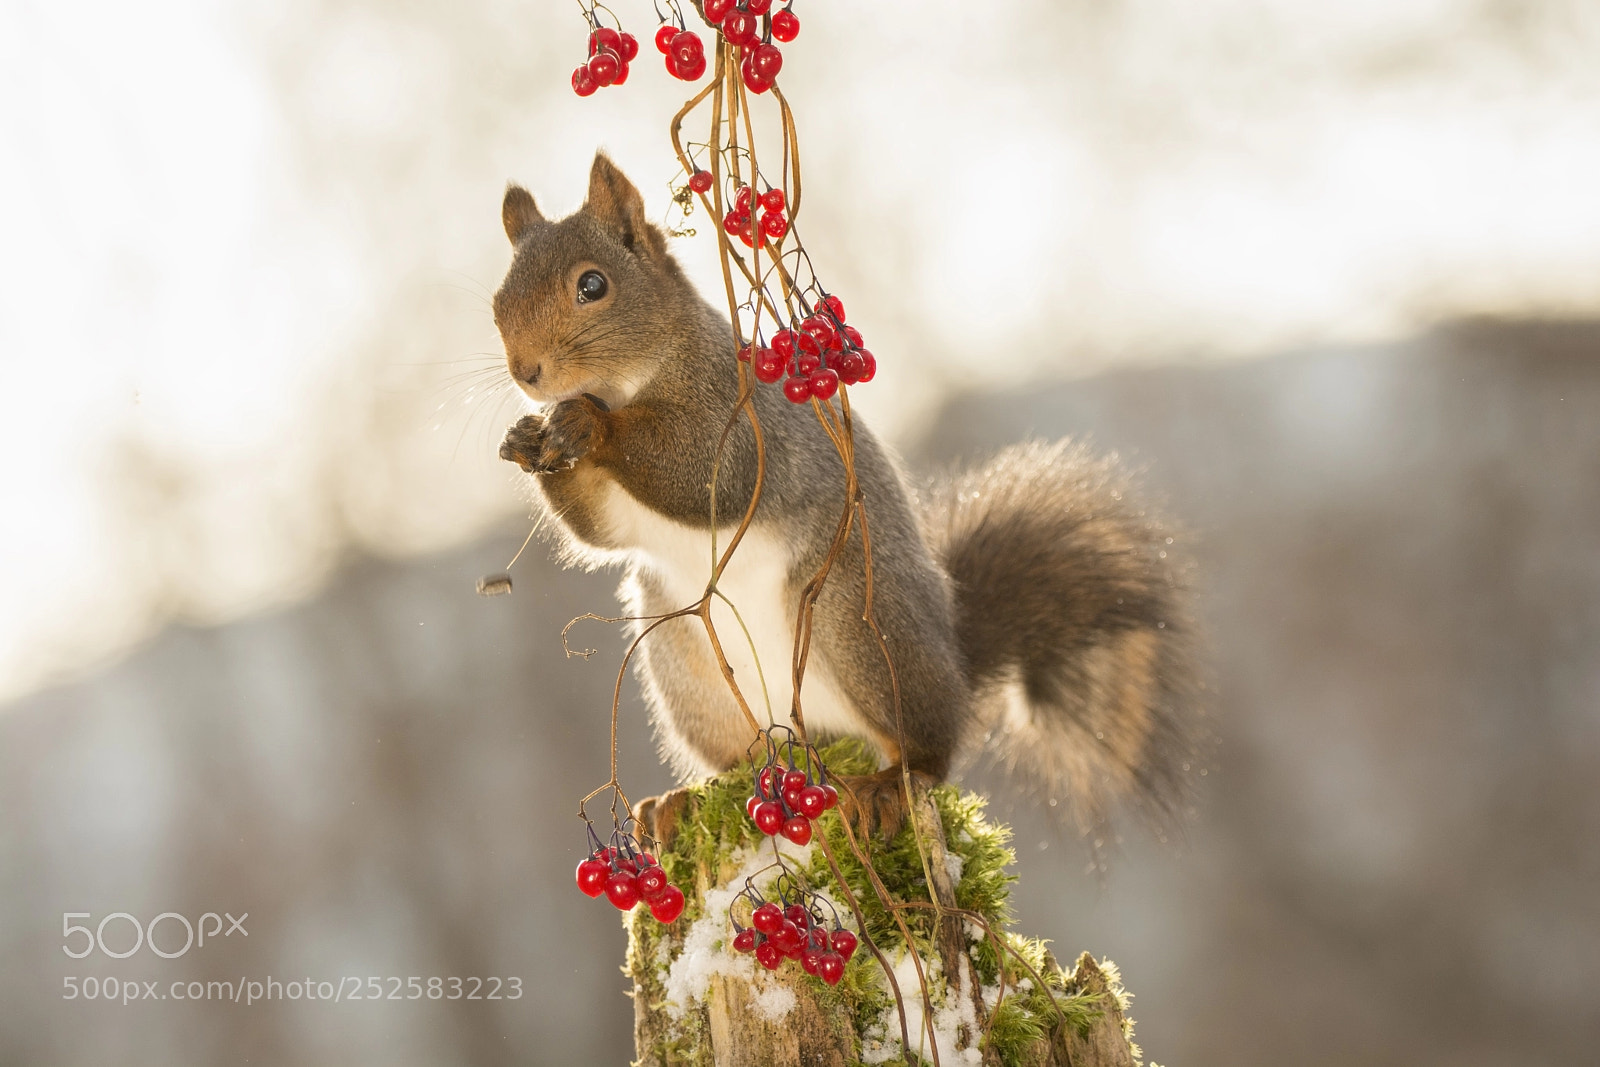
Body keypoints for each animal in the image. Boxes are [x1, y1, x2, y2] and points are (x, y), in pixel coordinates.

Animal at [494, 152, 1200, 842]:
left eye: (593, 286)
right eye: (498, 301)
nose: (527, 373)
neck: (637, 378)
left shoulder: (740, 422)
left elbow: (702, 475)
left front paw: (586, 424)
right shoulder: (622, 512)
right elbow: (599, 530)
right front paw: (527, 439)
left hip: (853, 613)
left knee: (930, 748)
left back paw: (890, 783)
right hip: (686, 660)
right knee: (748, 758)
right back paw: (682, 803)